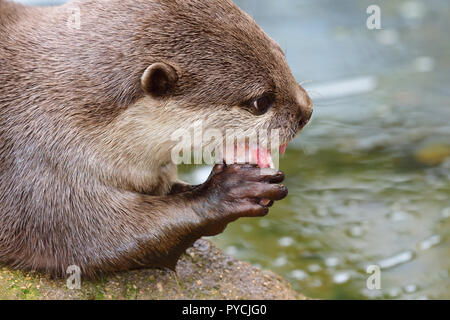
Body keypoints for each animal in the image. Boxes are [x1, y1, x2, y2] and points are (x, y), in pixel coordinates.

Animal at [0, 0, 312, 278]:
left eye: (281, 54)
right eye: (261, 101)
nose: (307, 111)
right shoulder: (41, 174)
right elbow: (97, 240)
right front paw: (232, 189)